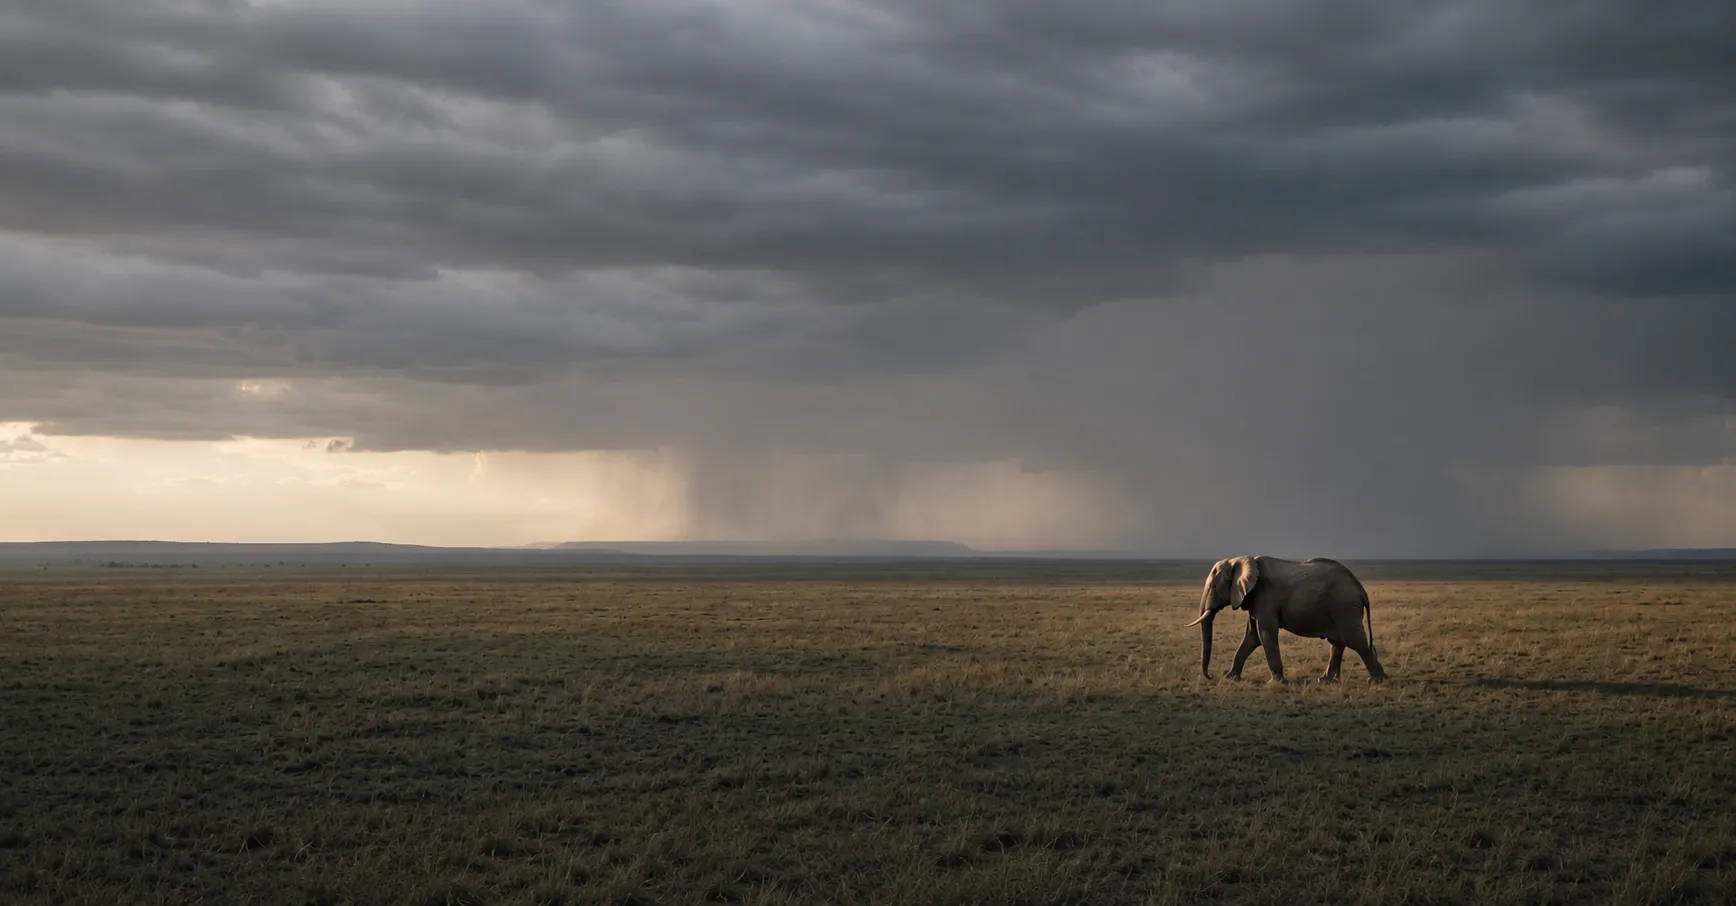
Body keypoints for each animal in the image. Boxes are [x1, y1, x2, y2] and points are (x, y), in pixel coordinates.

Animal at [1184, 555, 1387, 684]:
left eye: (1213, 586)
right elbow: (1252, 637)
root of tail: (1361, 590)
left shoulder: (1265, 596)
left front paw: (1277, 683)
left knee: (1356, 642)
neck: (1239, 560)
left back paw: (1377, 681)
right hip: (1341, 609)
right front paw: (1230, 678)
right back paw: (1326, 681)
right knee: (1338, 643)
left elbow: (1265, 634)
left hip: (1344, 607)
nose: (1211, 676)